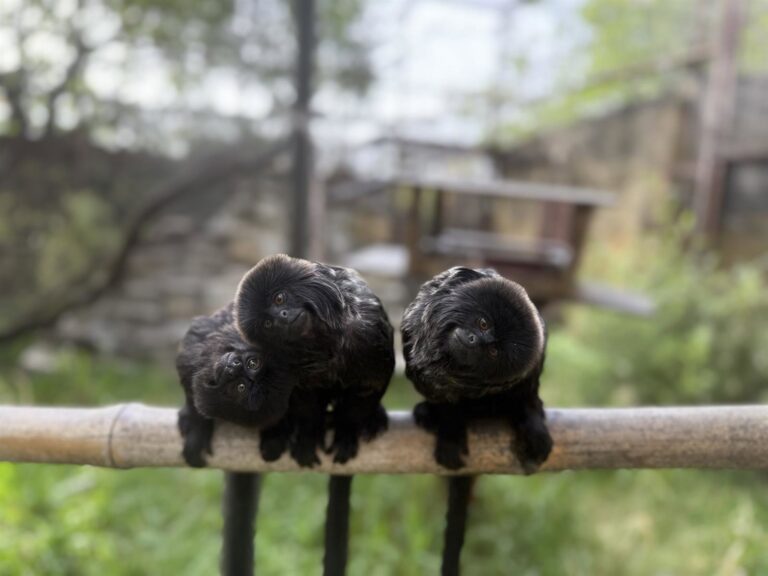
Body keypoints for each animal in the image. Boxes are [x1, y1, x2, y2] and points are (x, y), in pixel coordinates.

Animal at [235, 253, 395, 576]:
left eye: (280, 298)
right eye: (268, 323)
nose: (283, 316)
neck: (324, 342)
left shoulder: (368, 334)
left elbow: (366, 390)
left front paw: (347, 431)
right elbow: (306, 403)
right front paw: (308, 436)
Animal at [401, 266, 553, 576]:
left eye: (493, 351)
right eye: (483, 324)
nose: (475, 341)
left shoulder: (530, 368)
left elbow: (528, 398)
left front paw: (533, 425)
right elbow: (446, 403)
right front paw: (449, 432)